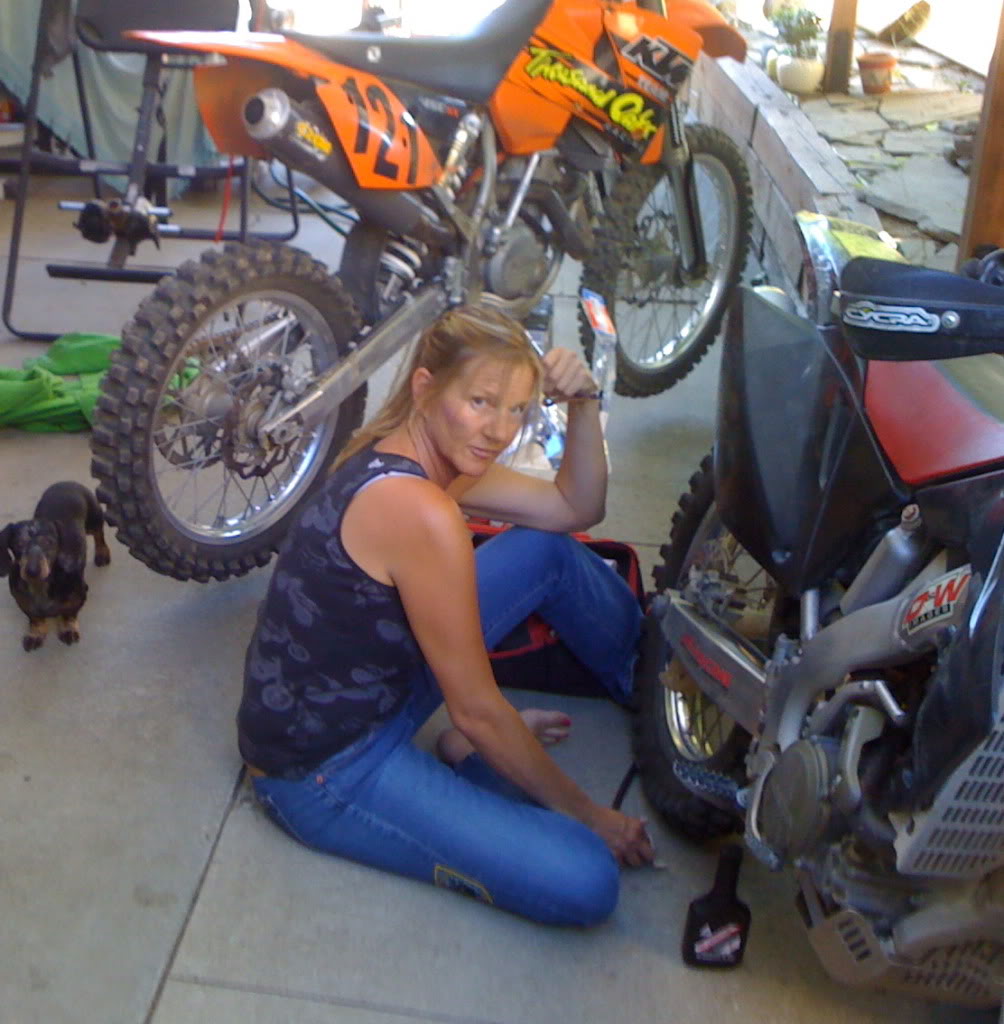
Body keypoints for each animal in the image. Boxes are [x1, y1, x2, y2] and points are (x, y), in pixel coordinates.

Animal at [0, 482, 111, 651]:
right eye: (18, 544)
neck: (40, 586)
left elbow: (68, 613)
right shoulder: (23, 602)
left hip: (94, 519)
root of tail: (66, 482)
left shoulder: (79, 596)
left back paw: (102, 553)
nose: (32, 571)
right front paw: (36, 634)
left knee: (99, 534)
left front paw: (68, 629)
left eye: (48, 542)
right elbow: (35, 618)